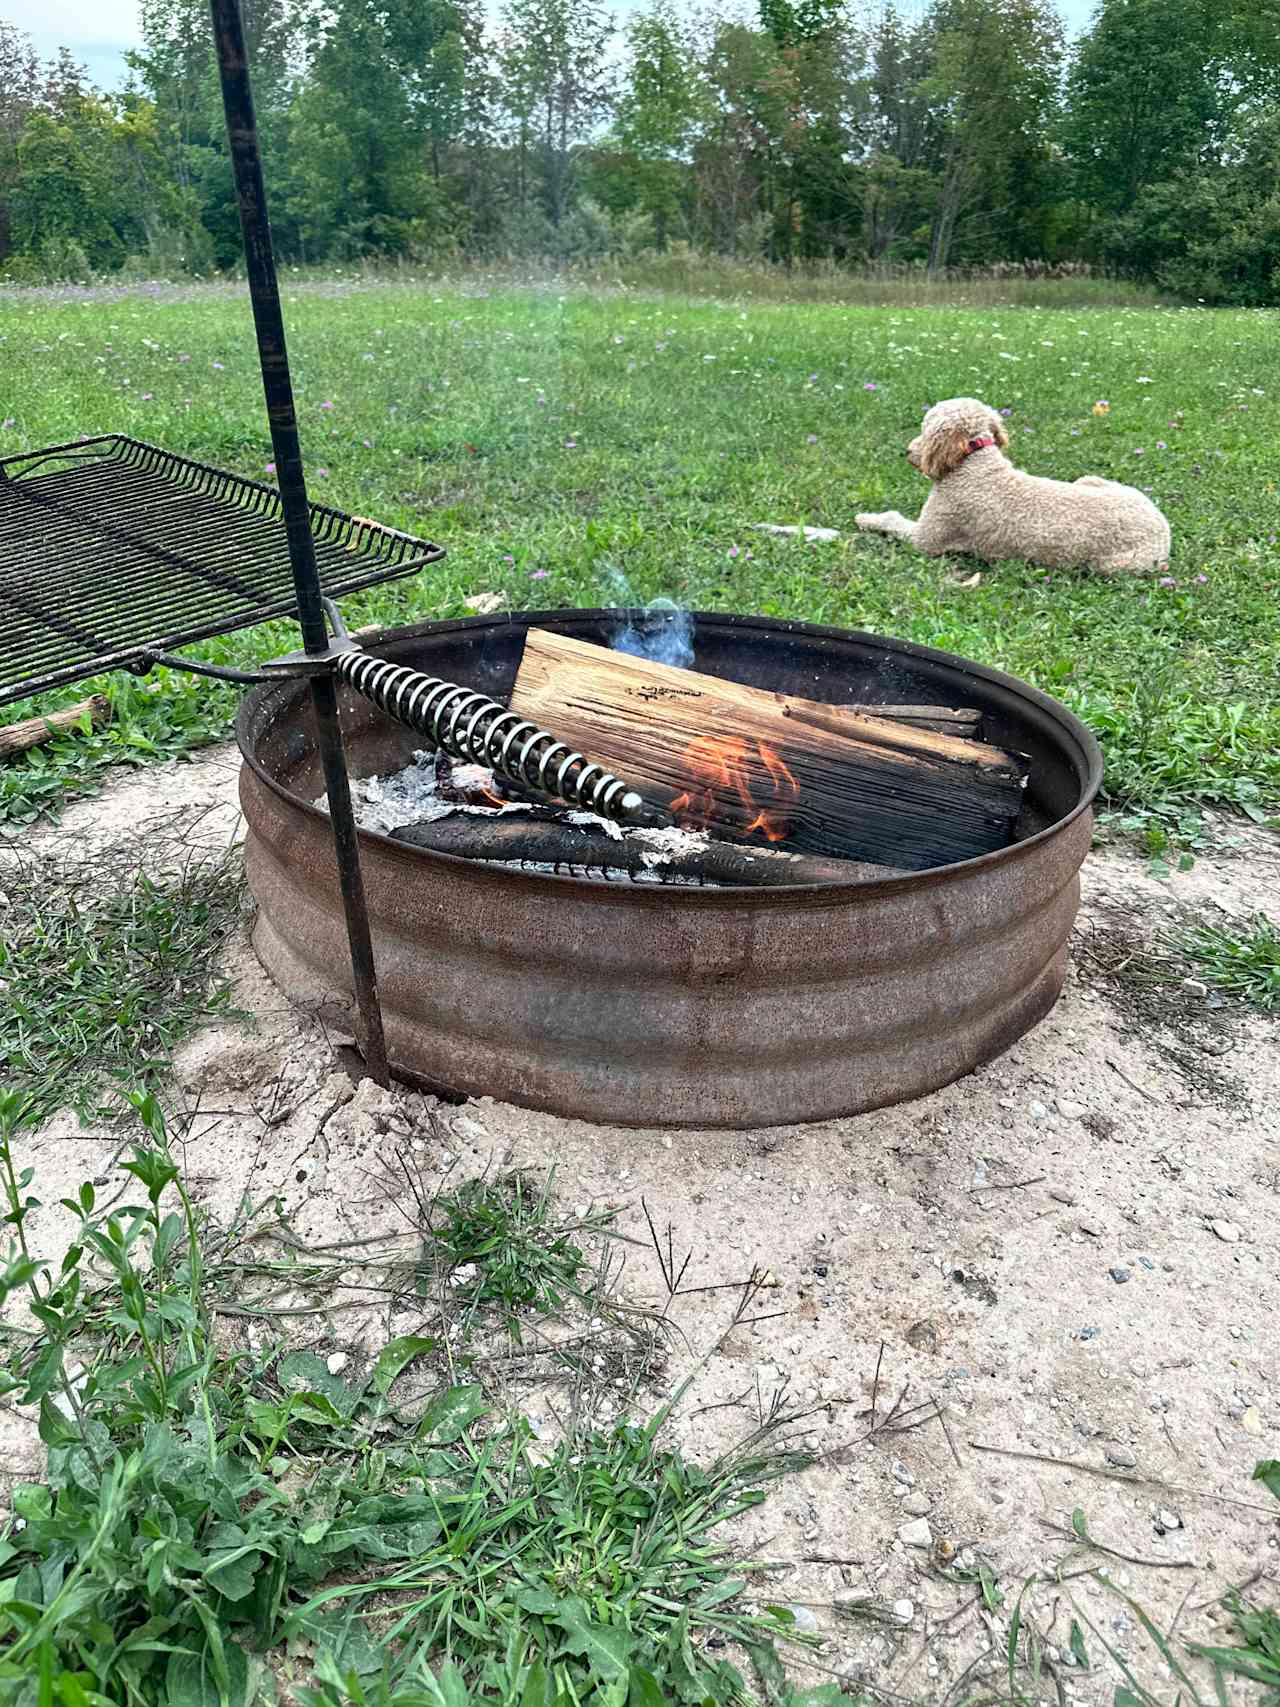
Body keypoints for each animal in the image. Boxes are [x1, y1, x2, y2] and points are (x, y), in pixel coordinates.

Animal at [863, 394, 1174, 573]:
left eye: (925, 428)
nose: (907, 451)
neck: (974, 463)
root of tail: (1162, 525)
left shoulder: (927, 538)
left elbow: (893, 521)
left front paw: (866, 518)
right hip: (1092, 480)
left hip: (1113, 565)